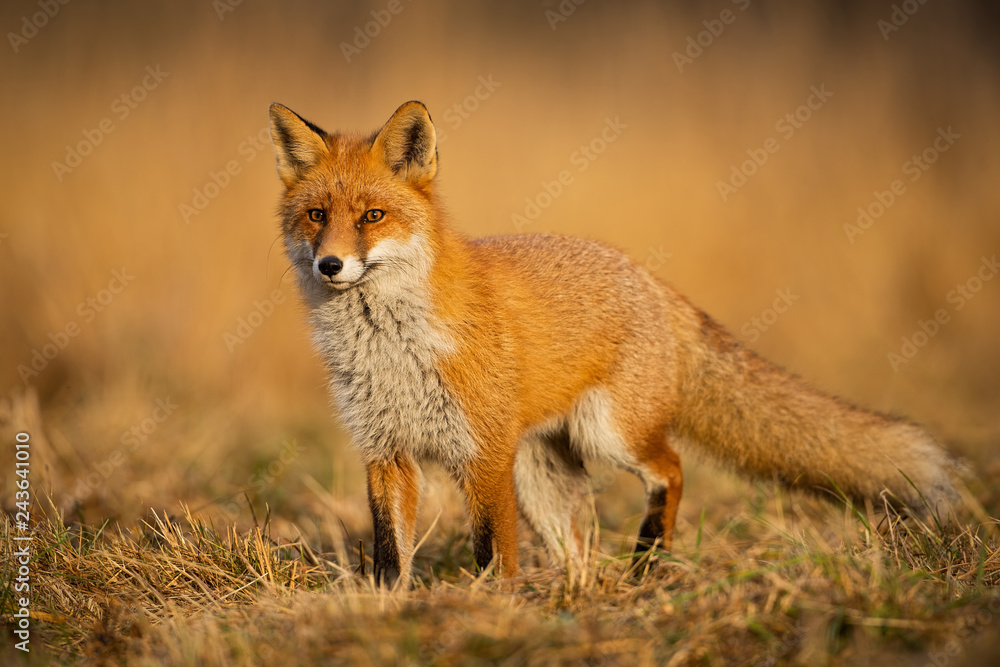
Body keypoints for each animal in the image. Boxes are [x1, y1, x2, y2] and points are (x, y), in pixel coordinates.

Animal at [270, 102, 956, 588]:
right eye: (316, 216)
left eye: (373, 217)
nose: (330, 265)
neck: (391, 350)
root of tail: (648, 277)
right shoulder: (385, 452)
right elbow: (391, 557)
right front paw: (390, 610)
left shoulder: (484, 455)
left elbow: (494, 553)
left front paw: (495, 607)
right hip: (544, 475)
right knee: (580, 545)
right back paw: (582, 596)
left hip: (609, 435)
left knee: (672, 469)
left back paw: (647, 563)